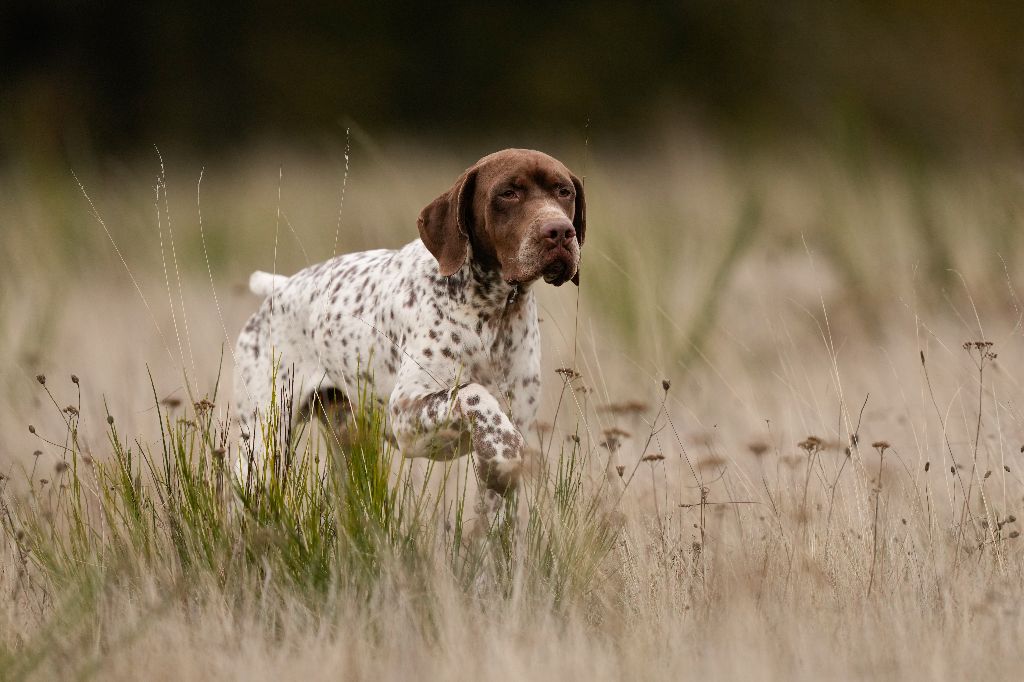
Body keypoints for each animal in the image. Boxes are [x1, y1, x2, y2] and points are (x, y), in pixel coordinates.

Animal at [233, 147, 585, 509]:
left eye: (564, 192)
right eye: (508, 193)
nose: (560, 232)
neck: (493, 312)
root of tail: (279, 286)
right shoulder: (405, 416)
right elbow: (472, 392)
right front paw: (504, 445)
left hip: (351, 450)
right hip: (263, 448)